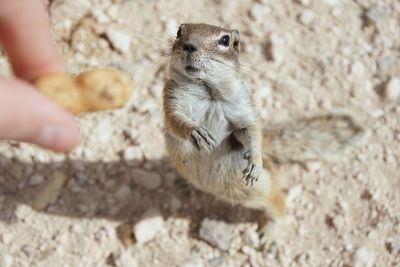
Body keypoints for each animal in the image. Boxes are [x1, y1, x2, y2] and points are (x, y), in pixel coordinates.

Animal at [162, 22, 366, 249]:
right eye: (180, 31)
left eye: (225, 40)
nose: (189, 45)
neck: (208, 92)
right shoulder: (172, 98)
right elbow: (175, 120)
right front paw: (196, 132)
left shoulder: (243, 109)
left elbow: (250, 131)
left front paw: (255, 160)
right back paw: (184, 183)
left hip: (261, 189)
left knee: (278, 203)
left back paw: (270, 234)